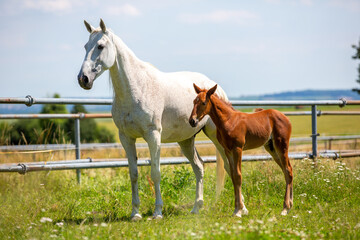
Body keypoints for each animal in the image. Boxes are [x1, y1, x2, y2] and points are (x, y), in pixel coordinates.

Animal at [77, 19, 232, 220]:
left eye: (100, 46)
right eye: (85, 46)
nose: (83, 79)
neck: (136, 87)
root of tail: (214, 87)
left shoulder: (153, 136)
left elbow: (155, 172)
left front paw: (157, 211)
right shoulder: (126, 138)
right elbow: (133, 173)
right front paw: (135, 213)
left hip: (215, 136)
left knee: (229, 164)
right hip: (186, 140)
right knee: (199, 167)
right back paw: (197, 207)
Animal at [188, 84, 292, 218]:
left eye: (203, 102)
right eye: (193, 101)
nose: (192, 121)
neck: (228, 120)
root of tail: (286, 118)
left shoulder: (238, 149)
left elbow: (238, 176)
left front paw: (238, 211)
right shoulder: (227, 150)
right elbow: (233, 176)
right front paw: (238, 209)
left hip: (281, 146)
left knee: (288, 170)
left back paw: (285, 208)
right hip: (271, 148)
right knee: (287, 170)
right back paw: (290, 206)